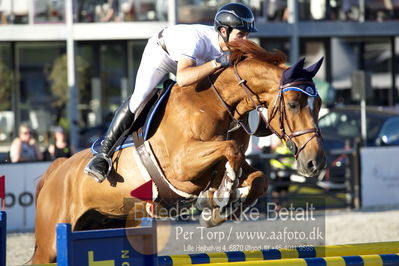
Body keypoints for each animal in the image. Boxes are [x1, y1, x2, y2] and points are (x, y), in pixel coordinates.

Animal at [32, 39, 326, 264]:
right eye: (293, 103)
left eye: (319, 103)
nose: (316, 163)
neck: (217, 102)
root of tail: (57, 169)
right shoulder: (181, 166)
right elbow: (230, 150)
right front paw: (222, 196)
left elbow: (258, 178)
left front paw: (222, 206)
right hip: (51, 243)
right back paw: (98, 164)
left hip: (108, 220)